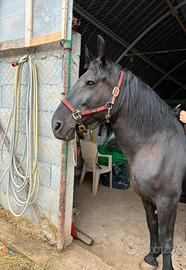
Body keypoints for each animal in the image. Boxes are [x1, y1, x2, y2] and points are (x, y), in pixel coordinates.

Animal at [52, 35, 186, 270]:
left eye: (90, 82)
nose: (56, 124)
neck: (157, 146)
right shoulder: (146, 198)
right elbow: (151, 225)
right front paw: (151, 258)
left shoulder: (168, 202)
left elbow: (167, 238)